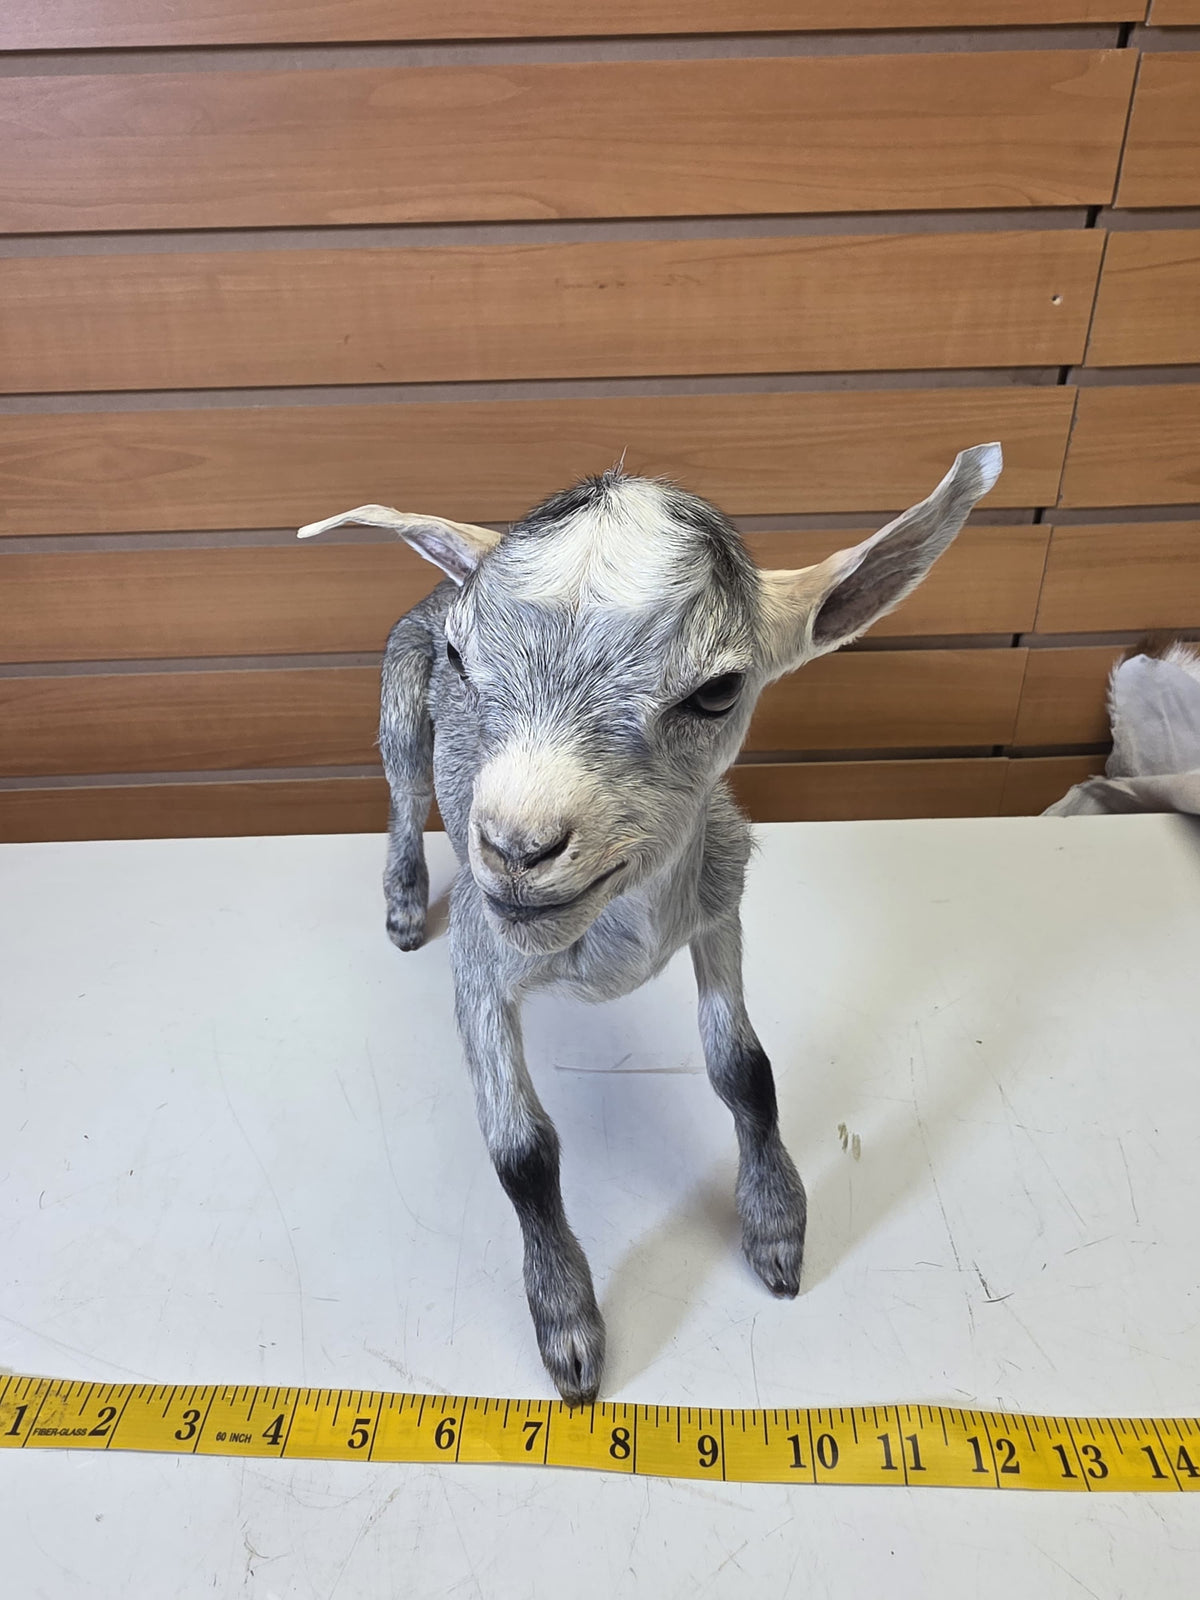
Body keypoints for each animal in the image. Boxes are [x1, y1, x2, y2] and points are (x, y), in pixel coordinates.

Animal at [299, 442, 1002, 1403]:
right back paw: (404, 902)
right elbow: (521, 1151)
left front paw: (777, 1228)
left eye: (718, 691)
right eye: (462, 659)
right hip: (400, 712)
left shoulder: (720, 903)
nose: (516, 847)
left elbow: (745, 1070)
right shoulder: (482, 956)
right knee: (405, 793)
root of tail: (440, 582)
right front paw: (568, 1326)